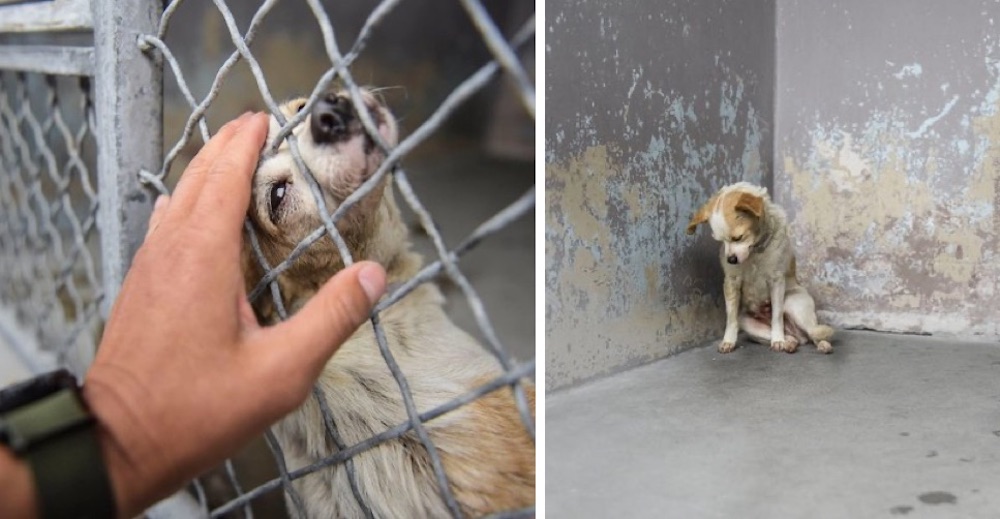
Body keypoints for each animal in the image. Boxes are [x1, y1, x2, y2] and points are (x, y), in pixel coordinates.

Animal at [684, 181, 832, 356]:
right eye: (721, 241)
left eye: (738, 238)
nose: (731, 260)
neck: (754, 252)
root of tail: (794, 332)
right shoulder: (731, 283)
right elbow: (731, 318)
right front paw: (728, 341)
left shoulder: (776, 281)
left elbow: (776, 316)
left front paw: (778, 340)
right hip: (748, 323)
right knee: (795, 338)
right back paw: (789, 343)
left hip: (795, 306)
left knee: (814, 332)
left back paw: (819, 344)